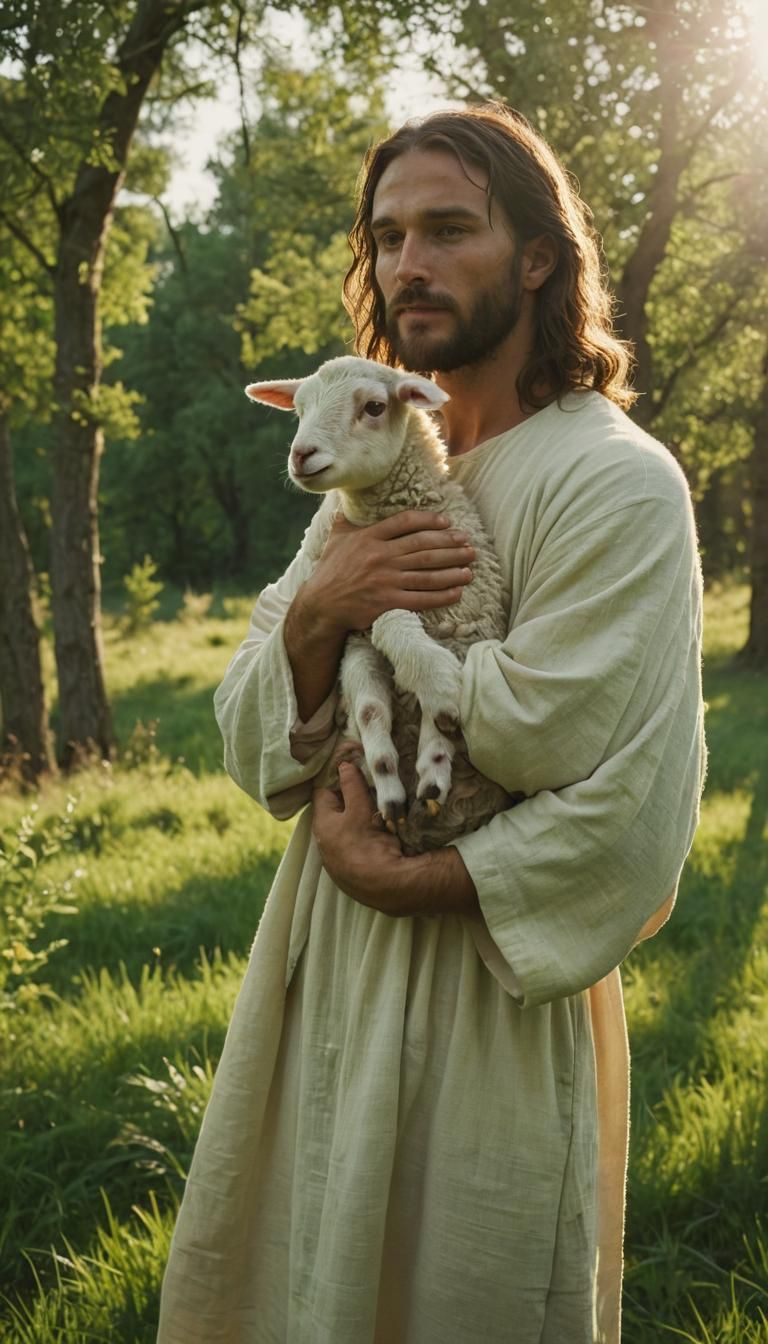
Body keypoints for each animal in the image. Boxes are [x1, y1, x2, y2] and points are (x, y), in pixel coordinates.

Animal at [245, 355, 516, 855]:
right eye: (300, 409)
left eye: (373, 407)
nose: (301, 454)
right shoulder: (358, 634)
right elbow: (378, 685)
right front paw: (396, 777)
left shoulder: (469, 619)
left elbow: (432, 695)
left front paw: (437, 742)